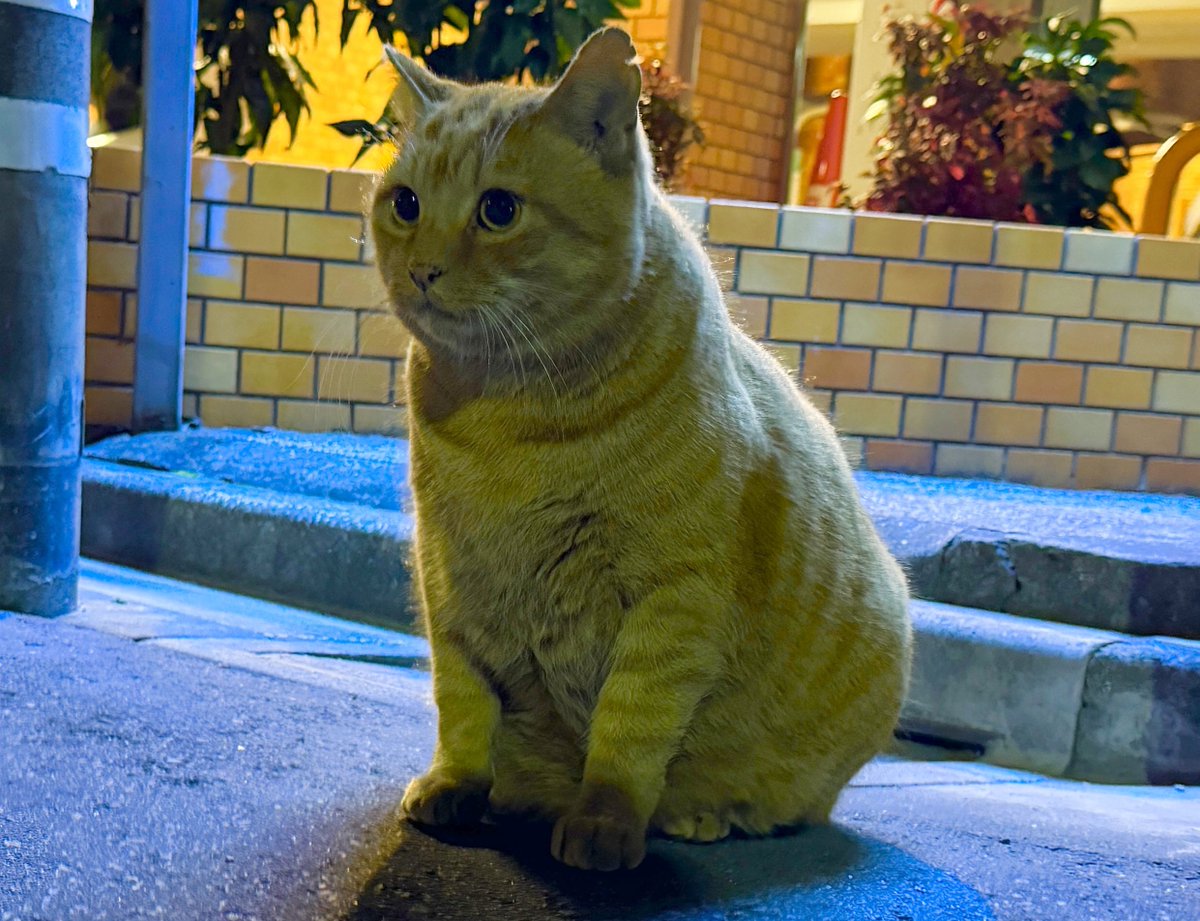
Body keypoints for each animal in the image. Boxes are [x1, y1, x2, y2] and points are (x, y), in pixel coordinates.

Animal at [364, 26, 907, 873]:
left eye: (498, 210)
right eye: (406, 204)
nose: (420, 270)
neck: (508, 420)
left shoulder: (672, 600)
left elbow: (629, 726)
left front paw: (604, 821)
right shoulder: (450, 580)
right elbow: (462, 703)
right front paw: (458, 784)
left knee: (784, 803)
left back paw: (702, 814)